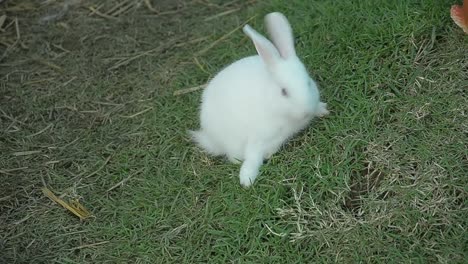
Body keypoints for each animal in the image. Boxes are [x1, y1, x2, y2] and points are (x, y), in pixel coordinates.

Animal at [190, 11, 330, 187]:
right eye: (284, 92)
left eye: (308, 82)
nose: (306, 111)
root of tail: (209, 137)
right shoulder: (257, 138)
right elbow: (252, 157)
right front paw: (246, 179)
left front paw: (323, 109)